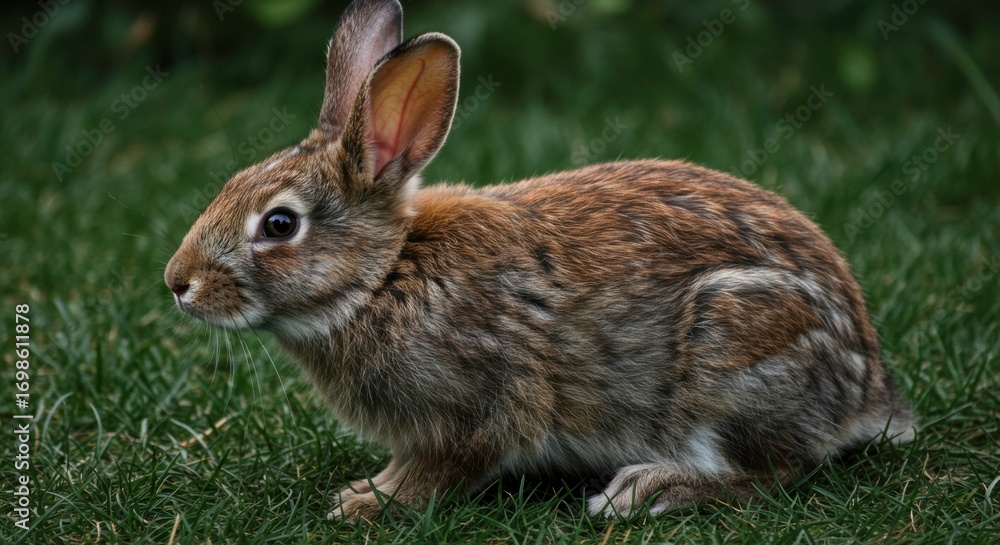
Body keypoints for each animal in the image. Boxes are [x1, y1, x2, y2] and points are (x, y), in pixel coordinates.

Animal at [164, 0, 915, 522]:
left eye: (279, 224)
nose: (178, 283)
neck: (382, 276)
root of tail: (867, 387)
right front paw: (365, 488)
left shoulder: (475, 410)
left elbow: (443, 470)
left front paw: (368, 504)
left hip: (734, 344)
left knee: (775, 469)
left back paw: (646, 490)